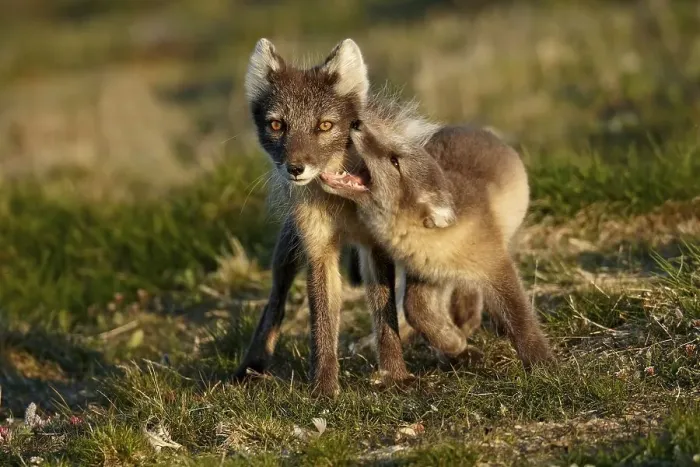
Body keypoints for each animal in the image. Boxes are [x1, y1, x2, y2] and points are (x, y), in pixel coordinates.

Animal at [233, 38, 482, 397]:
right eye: (277, 125)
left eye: (324, 125)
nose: (295, 169)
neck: (344, 203)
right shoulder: (318, 249)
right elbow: (322, 322)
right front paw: (324, 387)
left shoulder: (376, 246)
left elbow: (386, 315)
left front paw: (396, 375)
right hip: (289, 250)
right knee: (275, 301)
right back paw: (252, 364)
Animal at [320, 121, 555, 367]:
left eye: (395, 160)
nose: (357, 123)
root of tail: (472, 126)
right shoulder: (426, 273)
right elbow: (415, 312)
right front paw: (455, 344)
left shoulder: (496, 265)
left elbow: (520, 318)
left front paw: (542, 363)